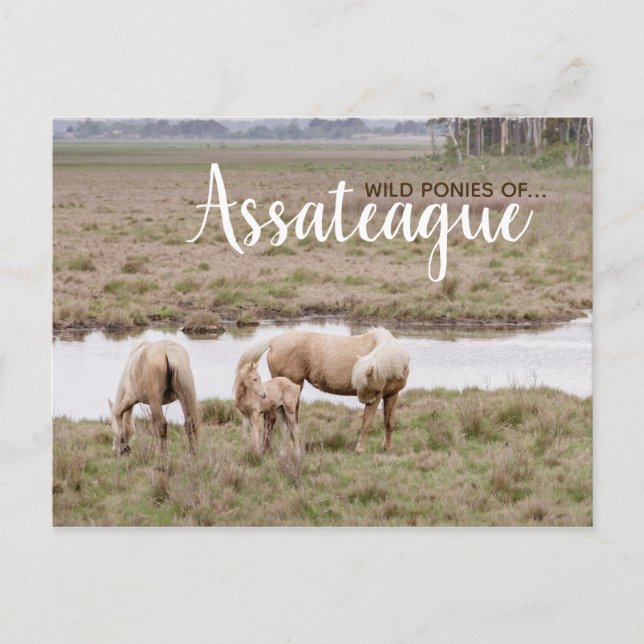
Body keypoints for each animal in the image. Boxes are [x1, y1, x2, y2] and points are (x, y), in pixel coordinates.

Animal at [235, 327, 409, 453]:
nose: (363, 400)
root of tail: (274, 341)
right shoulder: (377, 397)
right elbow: (367, 422)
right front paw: (360, 449)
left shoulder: (392, 395)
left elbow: (389, 422)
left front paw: (388, 448)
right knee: (276, 419)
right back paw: (273, 448)